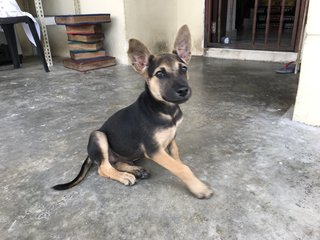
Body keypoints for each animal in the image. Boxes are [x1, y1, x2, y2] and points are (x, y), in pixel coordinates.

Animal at [53, 25, 212, 200]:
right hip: (98, 135)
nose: (184, 90)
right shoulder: (154, 150)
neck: (165, 109)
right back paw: (124, 176)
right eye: (160, 74)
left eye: (183, 69)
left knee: (116, 162)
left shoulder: (171, 139)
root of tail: (89, 154)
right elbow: (180, 168)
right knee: (103, 167)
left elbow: (177, 158)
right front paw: (199, 187)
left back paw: (136, 170)